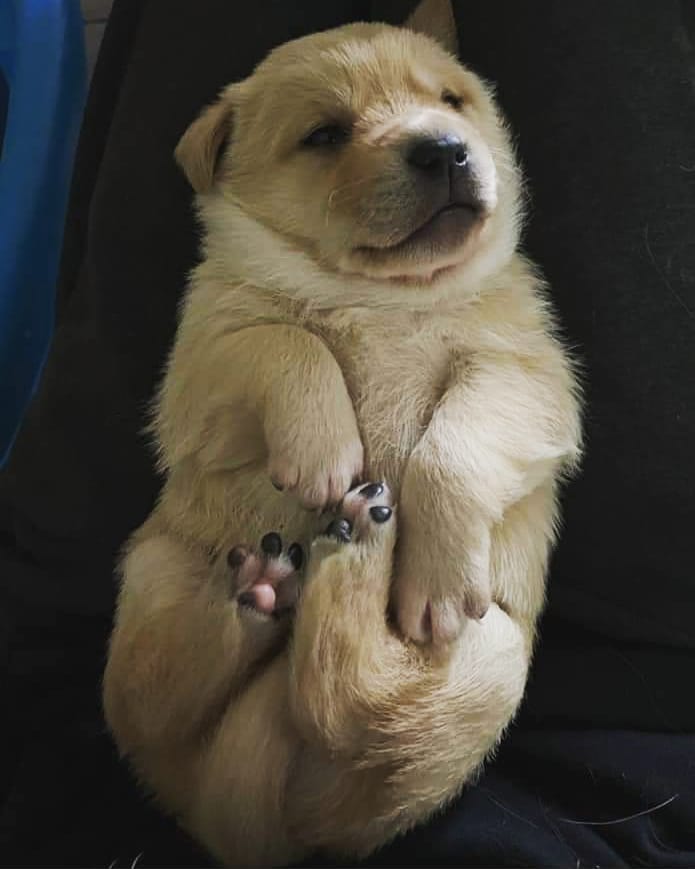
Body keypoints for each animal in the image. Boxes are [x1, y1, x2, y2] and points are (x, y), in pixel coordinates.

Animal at [102, 3, 580, 864]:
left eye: (452, 100)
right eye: (324, 134)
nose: (445, 147)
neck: (386, 295)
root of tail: (232, 823)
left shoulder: (526, 372)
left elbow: (450, 448)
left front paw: (430, 572)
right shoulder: (203, 358)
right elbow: (289, 341)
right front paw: (325, 454)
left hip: (491, 657)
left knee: (355, 705)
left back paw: (347, 552)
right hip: (153, 576)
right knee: (162, 702)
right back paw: (271, 583)